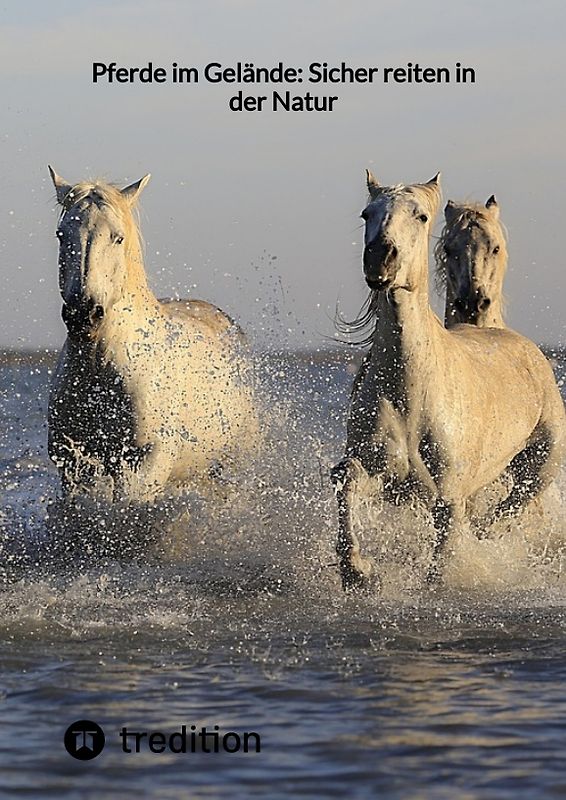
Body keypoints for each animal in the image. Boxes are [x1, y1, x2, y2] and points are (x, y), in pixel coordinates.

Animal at [47, 167, 259, 505]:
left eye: (118, 237)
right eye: (61, 234)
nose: (83, 314)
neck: (100, 369)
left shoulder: (144, 464)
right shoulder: (74, 466)